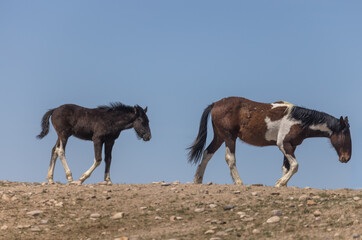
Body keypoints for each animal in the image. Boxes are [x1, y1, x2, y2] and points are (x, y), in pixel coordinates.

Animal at [188, 96, 352, 187]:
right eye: (346, 134)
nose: (346, 158)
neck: (297, 120)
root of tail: (215, 104)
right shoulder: (284, 145)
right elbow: (295, 166)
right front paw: (280, 183)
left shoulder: (291, 146)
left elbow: (287, 167)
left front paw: (283, 184)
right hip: (229, 138)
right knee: (230, 159)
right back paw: (239, 182)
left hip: (220, 137)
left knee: (207, 153)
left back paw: (198, 179)